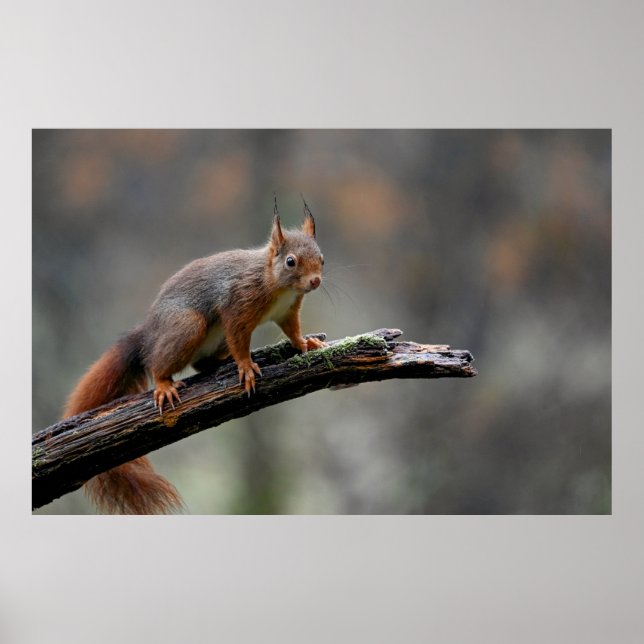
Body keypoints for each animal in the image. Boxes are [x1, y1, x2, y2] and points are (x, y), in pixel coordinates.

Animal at [63, 201, 325, 514]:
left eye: (322, 258)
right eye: (290, 261)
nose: (316, 281)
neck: (277, 284)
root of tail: (149, 333)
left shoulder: (287, 311)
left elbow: (293, 331)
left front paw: (306, 343)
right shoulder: (237, 308)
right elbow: (240, 340)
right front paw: (246, 366)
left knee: (201, 363)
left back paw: (220, 363)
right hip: (188, 326)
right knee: (157, 363)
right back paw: (165, 384)